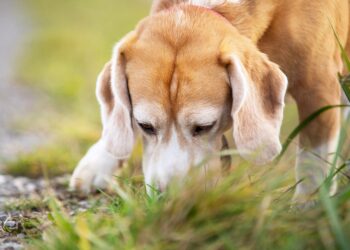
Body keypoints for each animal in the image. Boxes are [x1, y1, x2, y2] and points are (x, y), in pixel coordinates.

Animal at [69, 0, 348, 205]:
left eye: (204, 127)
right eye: (144, 125)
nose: (168, 198)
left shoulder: (319, 88)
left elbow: (312, 159)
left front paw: (308, 208)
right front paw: (100, 160)